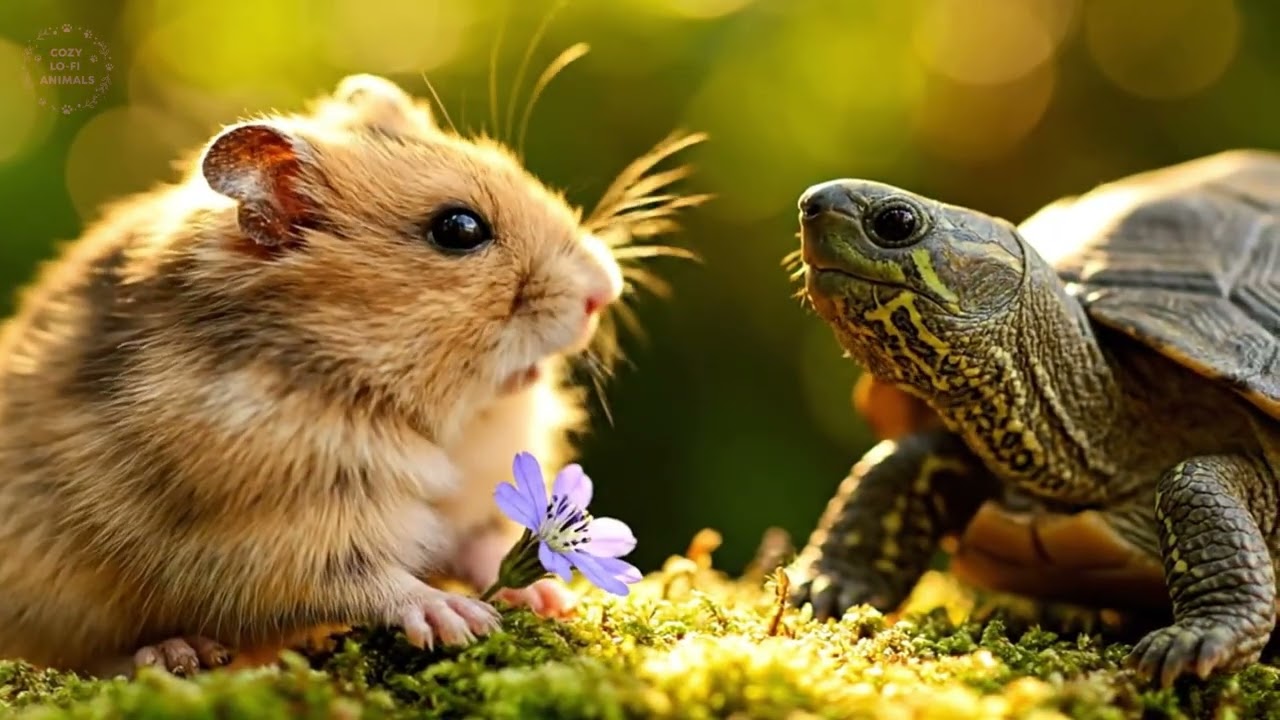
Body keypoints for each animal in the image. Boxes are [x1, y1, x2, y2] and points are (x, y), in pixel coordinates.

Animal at [0, 73, 705, 677]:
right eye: (459, 228)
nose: (603, 290)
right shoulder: (275, 531)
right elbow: (365, 578)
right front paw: (457, 619)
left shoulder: (479, 495)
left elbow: (487, 543)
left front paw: (556, 601)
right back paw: (177, 655)